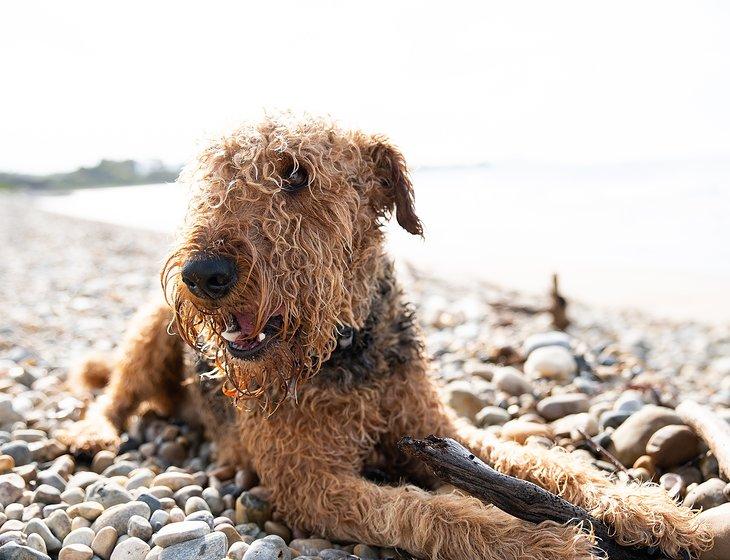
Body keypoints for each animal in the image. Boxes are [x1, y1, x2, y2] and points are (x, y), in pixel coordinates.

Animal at [64, 114, 712, 560]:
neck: (350, 348)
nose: (203, 274)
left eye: (295, 174)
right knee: (112, 394)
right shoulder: (311, 482)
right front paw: (541, 541)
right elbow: (429, 513)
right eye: (211, 177)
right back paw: (90, 433)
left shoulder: (436, 429)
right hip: (151, 332)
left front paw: (659, 514)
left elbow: (550, 463)